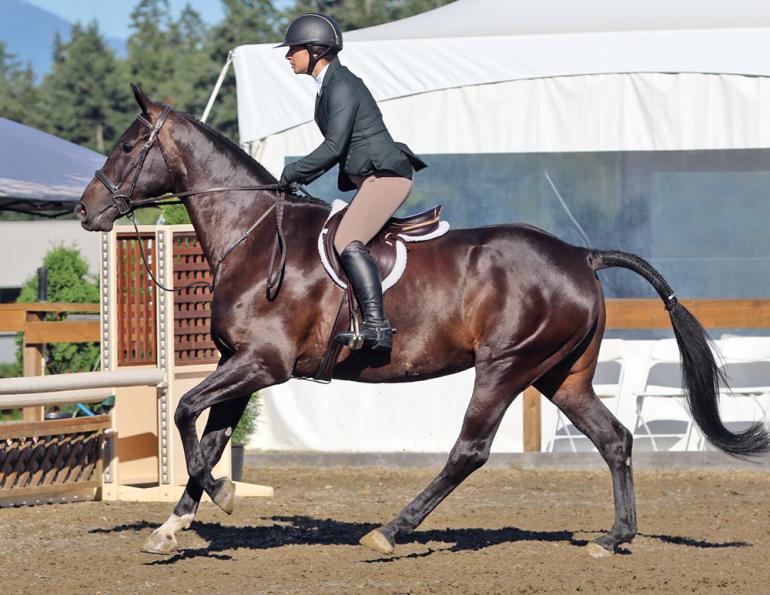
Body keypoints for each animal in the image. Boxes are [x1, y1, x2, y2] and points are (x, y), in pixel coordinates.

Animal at [77, 86, 769, 557]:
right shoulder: (237, 362)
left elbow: (184, 412)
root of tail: (581, 254)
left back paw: (390, 530)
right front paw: (174, 524)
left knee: (470, 450)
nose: (85, 210)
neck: (251, 233)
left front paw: (215, 497)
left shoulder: (263, 365)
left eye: (130, 145)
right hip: (560, 375)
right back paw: (615, 537)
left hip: (506, 365)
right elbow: (209, 432)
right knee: (615, 439)